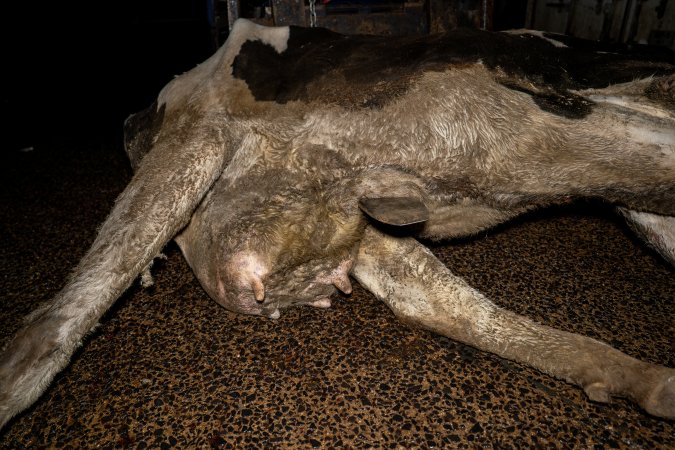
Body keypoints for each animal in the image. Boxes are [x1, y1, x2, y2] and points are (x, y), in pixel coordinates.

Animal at [0, 19, 674, 430]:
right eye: (318, 284)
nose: (326, 285)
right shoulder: (376, 245)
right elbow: (468, 315)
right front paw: (645, 381)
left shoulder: (200, 136)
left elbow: (77, 301)